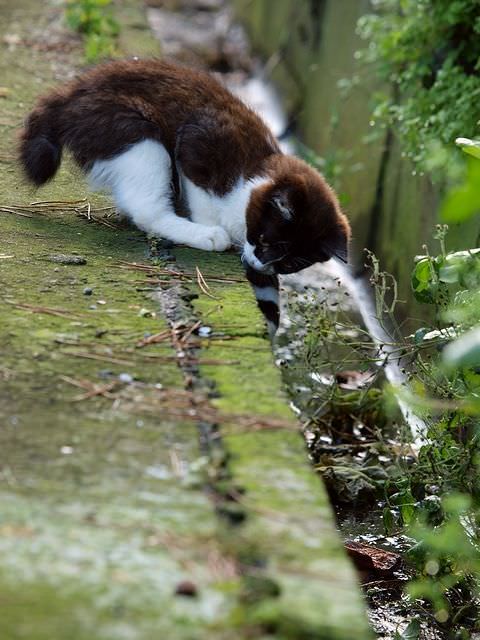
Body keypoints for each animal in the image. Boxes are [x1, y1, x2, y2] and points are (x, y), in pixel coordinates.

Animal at [18, 58, 350, 336]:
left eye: (291, 264)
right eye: (269, 242)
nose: (260, 262)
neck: (254, 171)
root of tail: (70, 92)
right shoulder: (198, 146)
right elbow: (204, 195)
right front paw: (212, 227)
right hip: (135, 132)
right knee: (148, 210)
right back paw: (204, 234)